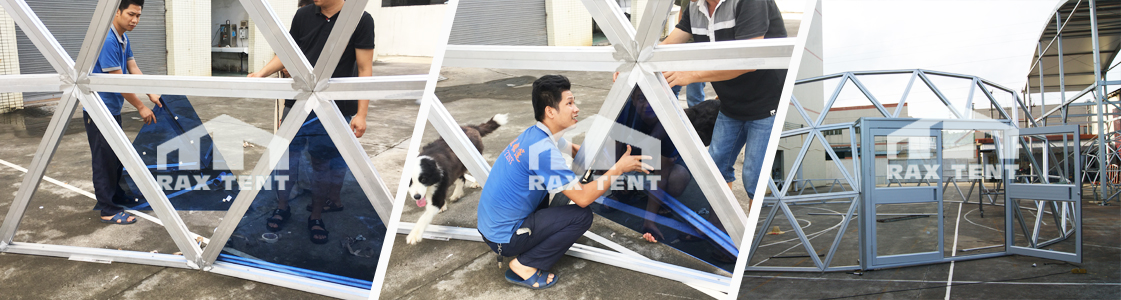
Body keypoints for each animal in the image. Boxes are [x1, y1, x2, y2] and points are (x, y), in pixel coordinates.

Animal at [405, 113, 506, 244]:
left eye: (423, 180)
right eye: (409, 183)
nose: (417, 197)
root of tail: (471, 127)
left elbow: (425, 215)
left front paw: (414, 234)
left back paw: (472, 185)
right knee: (461, 178)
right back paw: (457, 194)